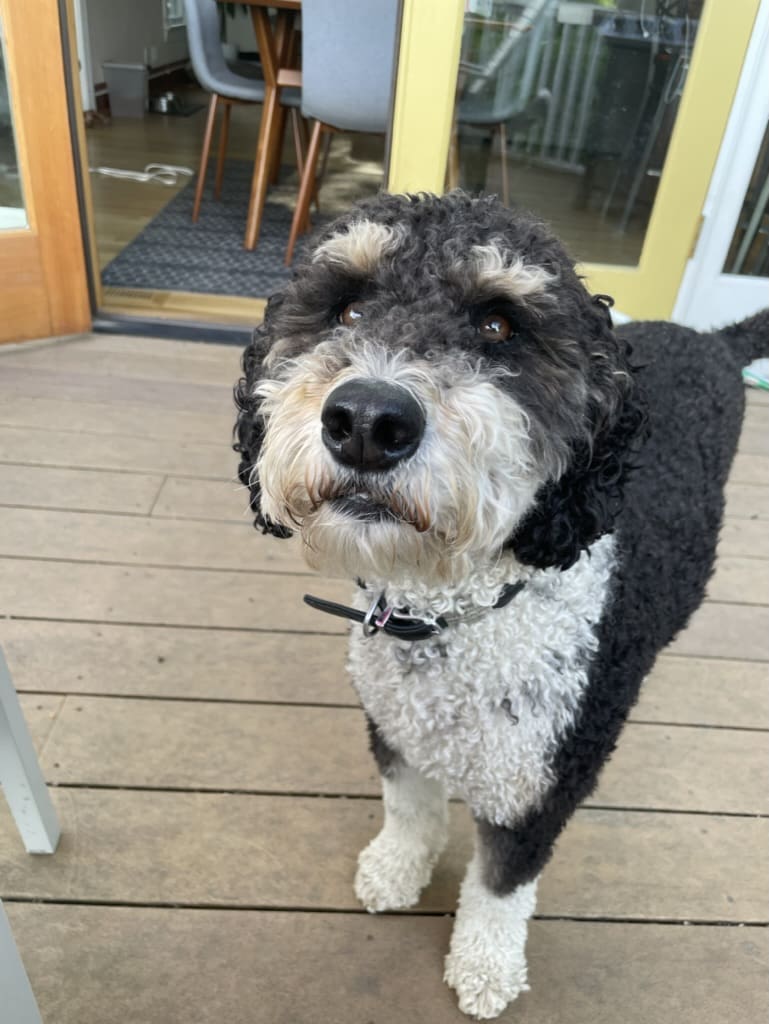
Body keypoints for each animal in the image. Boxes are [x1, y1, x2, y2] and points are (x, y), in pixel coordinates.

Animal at [236, 190, 769, 1015]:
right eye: (347, 308)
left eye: (498, 327)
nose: (366, 421)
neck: (453, 617)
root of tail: (707, 340)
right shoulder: (394, 729)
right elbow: (410, 810)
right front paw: (395, 870)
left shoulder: (537, 787)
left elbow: (498, 887)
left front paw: (485, 969)